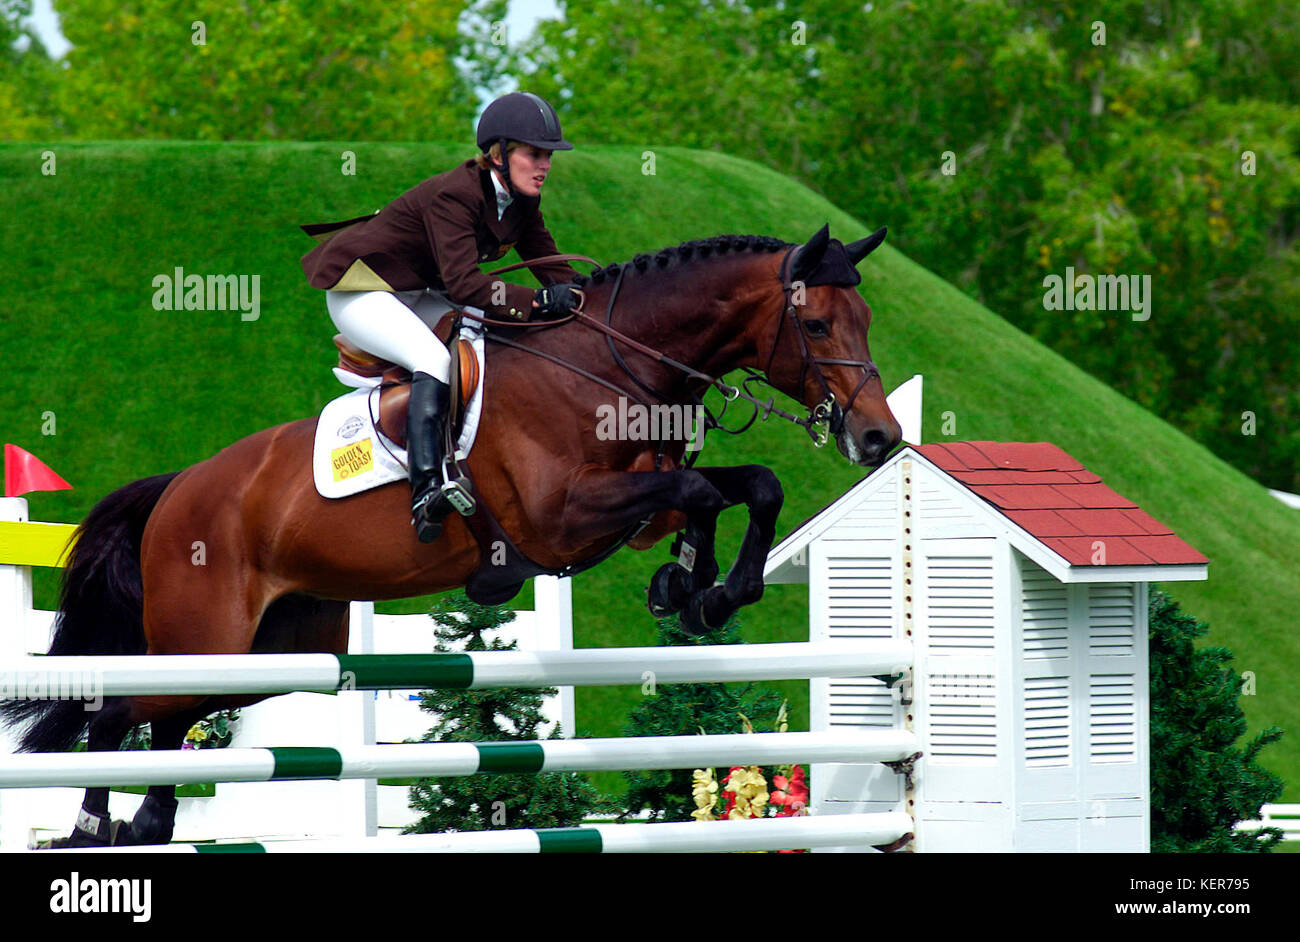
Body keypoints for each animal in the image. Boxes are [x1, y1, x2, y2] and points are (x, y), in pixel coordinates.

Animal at [0, 222, 899, 847]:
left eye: (865, 318)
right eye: (819, 327)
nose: (879, 440)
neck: (612, 364)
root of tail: (179, 489)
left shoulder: (631, 504)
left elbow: (745, 487)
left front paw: (703, 588)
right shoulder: (563, 518)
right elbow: (699, 491)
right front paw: (696, 587)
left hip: (268, 655)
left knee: (166, 722)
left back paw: (147, 824)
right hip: (206, 637)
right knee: (118, 713)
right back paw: (91, 829)